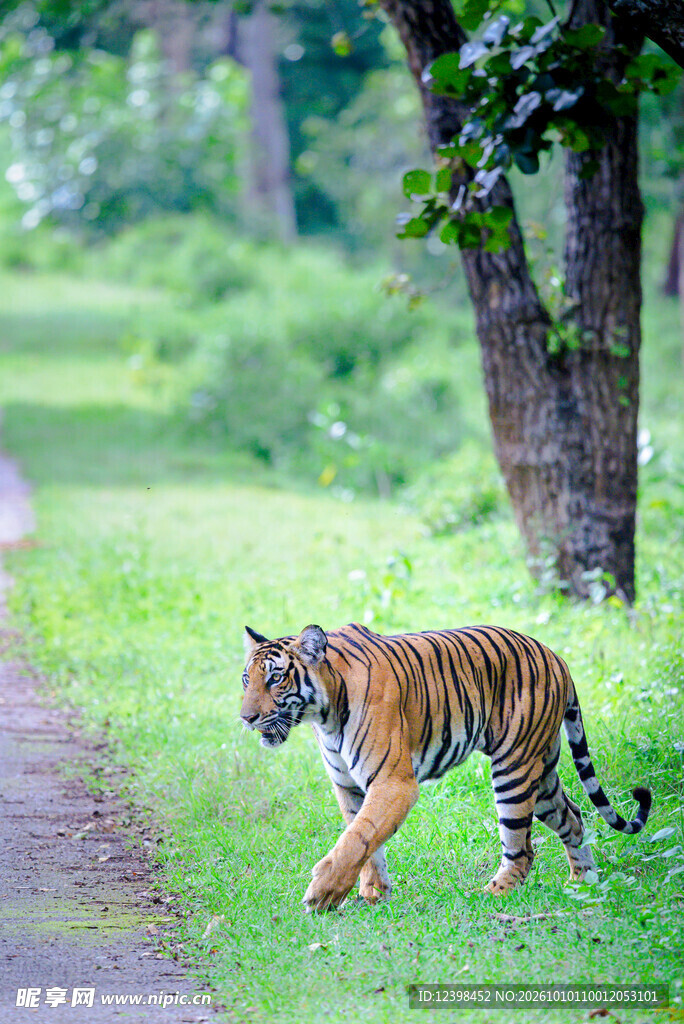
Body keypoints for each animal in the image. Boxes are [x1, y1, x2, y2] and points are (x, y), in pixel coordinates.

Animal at [240, 621, 651, 912]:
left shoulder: (393, 782)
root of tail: (556, 656)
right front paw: (373, 892)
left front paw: (322, 894)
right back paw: (583, 882)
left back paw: (491, 894)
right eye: (247, 679)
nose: (245, 718)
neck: (323, 713)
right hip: (542, 768)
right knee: (573, 816)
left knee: (522, 850)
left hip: (514, 768)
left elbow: (357, 837)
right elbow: (363, 838)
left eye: (275, 678)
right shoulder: (349, 786)